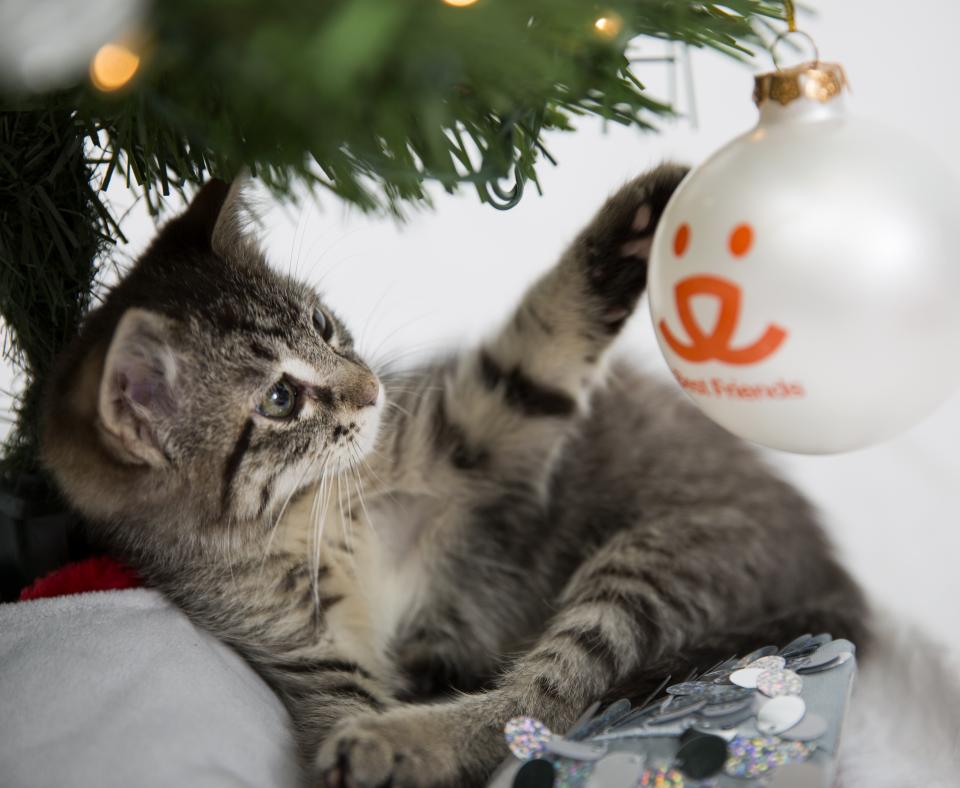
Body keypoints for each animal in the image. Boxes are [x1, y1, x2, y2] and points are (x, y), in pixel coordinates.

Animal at [39, 169, 872, 784]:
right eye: (280, 399)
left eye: (323, 327)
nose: (371, 388)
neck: (316, 515)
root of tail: (830, 578)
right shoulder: (304, 655)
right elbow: (343, 714)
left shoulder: (487, 439)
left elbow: (536, 354)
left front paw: (641, 216)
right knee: (535, 711)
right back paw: (401, 742)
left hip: (667, 552)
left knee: (552, 695)